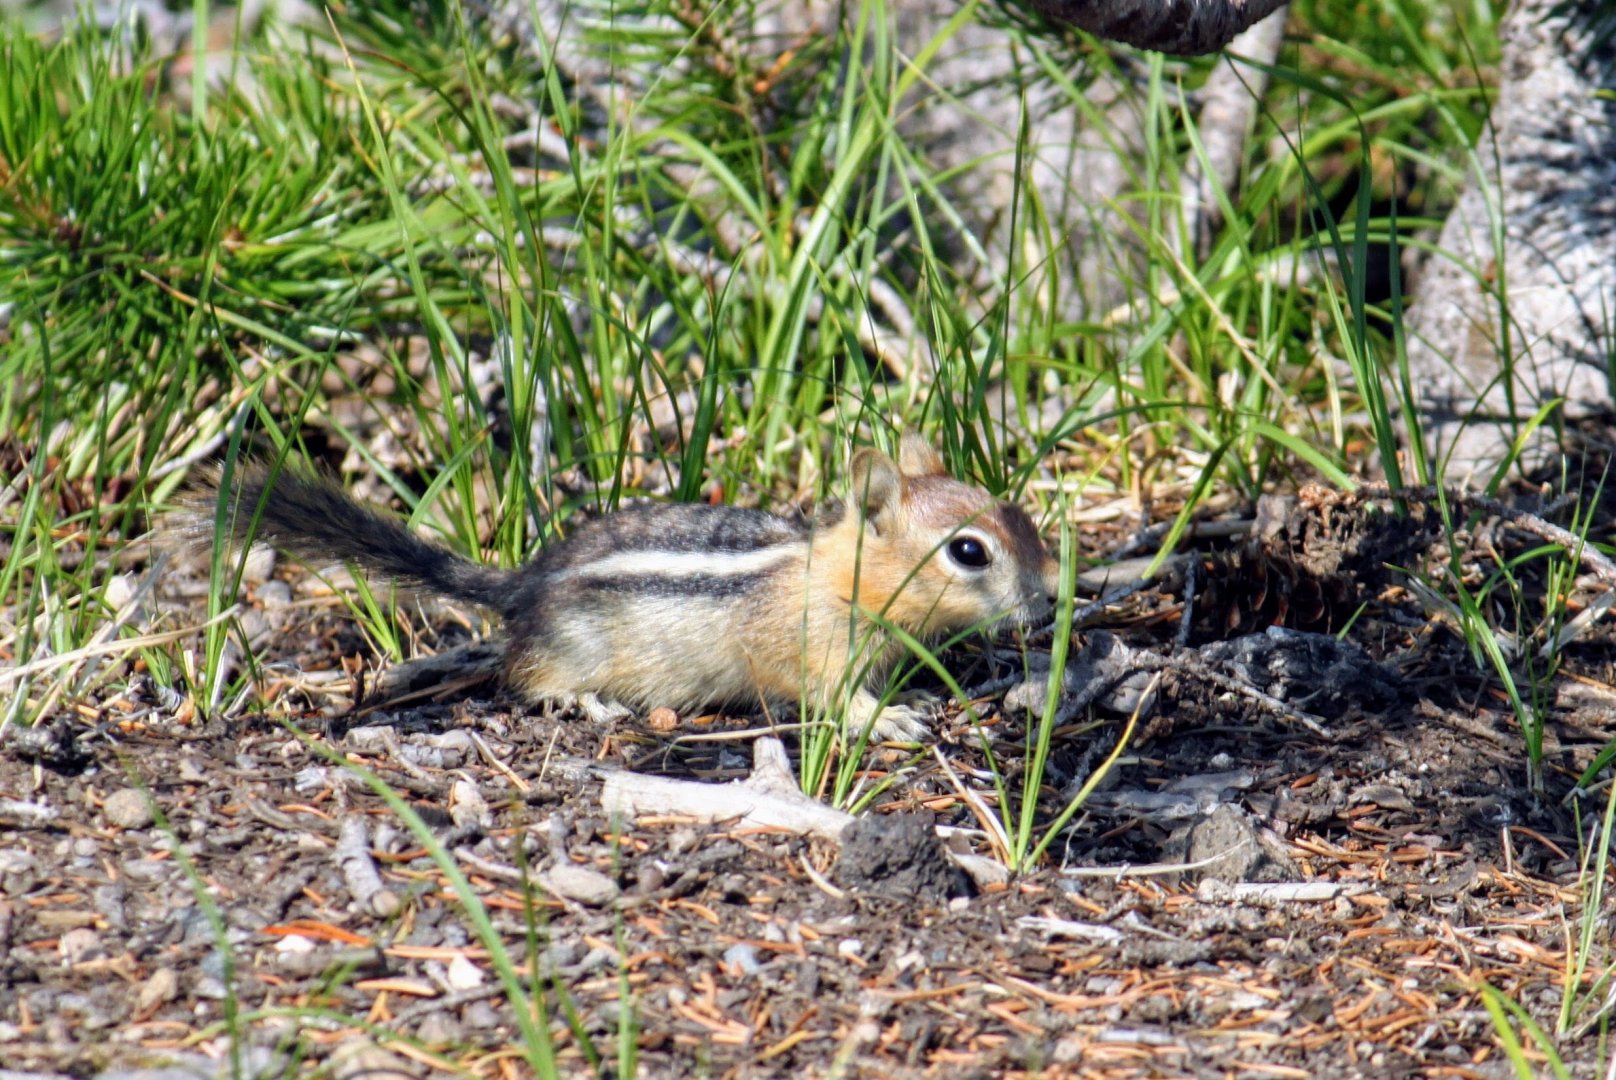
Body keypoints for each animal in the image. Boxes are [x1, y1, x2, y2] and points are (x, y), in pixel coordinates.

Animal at [187, 434, 1061, 741]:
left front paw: (907, 696)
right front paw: (886, 718)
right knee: (524, 679)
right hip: (568, 651)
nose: (1049, 598)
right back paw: (590, 703)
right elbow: (830, 697)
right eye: (970, 552)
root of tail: (526, 585)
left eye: (1015, 512)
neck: (837, 577)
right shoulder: (810, 653)